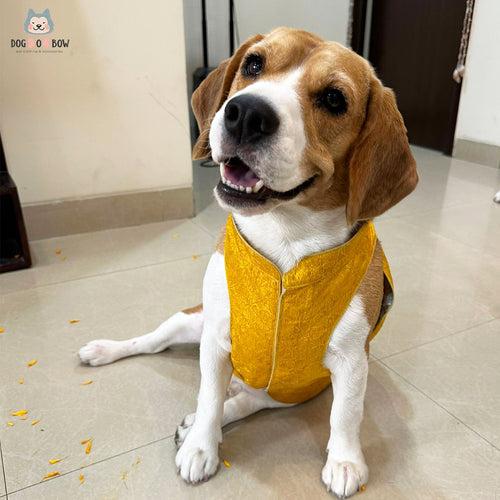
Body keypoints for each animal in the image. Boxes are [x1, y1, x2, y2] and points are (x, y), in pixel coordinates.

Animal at [80, 29, 418, 498]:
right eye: (254, 64)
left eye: (334, 99)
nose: (246, 114)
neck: (286, 242)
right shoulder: (217, 338)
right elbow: (206, 398)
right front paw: (201, 448)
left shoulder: (352, 360)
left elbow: (346, 414)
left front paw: (345, 460)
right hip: (190, 322)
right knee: (154, 345)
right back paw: (107, 352)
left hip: (281, 393)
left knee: (240, 401)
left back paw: (210, 416)